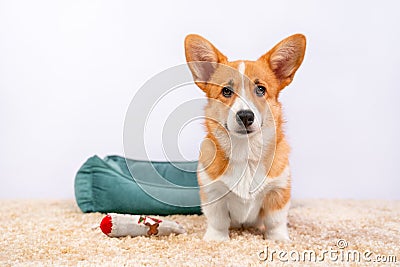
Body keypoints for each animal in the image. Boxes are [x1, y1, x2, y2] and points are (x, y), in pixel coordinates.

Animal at [184, 34, 306, 243]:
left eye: (260, 89)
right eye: (226, 91)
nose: (246, 116)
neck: (245, 152)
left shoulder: (278, 191)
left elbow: (275, 221)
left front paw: (278, 239)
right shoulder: (213, 193)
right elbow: (217, 220)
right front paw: (216, 239)